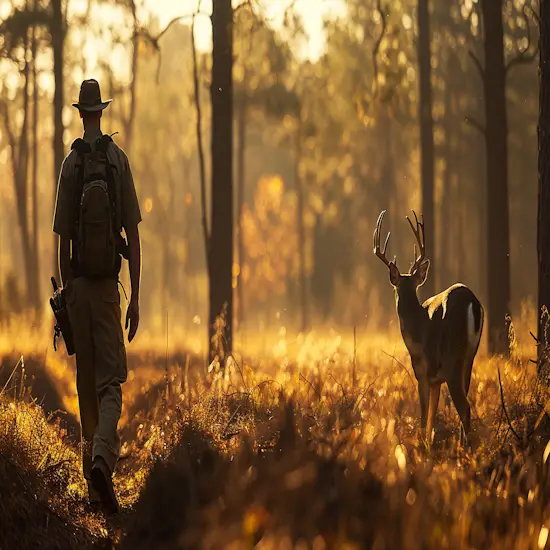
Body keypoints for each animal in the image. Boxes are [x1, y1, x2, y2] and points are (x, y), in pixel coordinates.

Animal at [374, 211, 486, 448]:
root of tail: (472, 301)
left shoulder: (423, 372)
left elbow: (424, 416)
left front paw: (422, 448)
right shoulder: (436, 380)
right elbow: (432, 419)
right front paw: (428, 446)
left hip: (453, 357)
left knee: (465, 406)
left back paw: (466, 451)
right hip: (469, 358)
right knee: (466, 402)